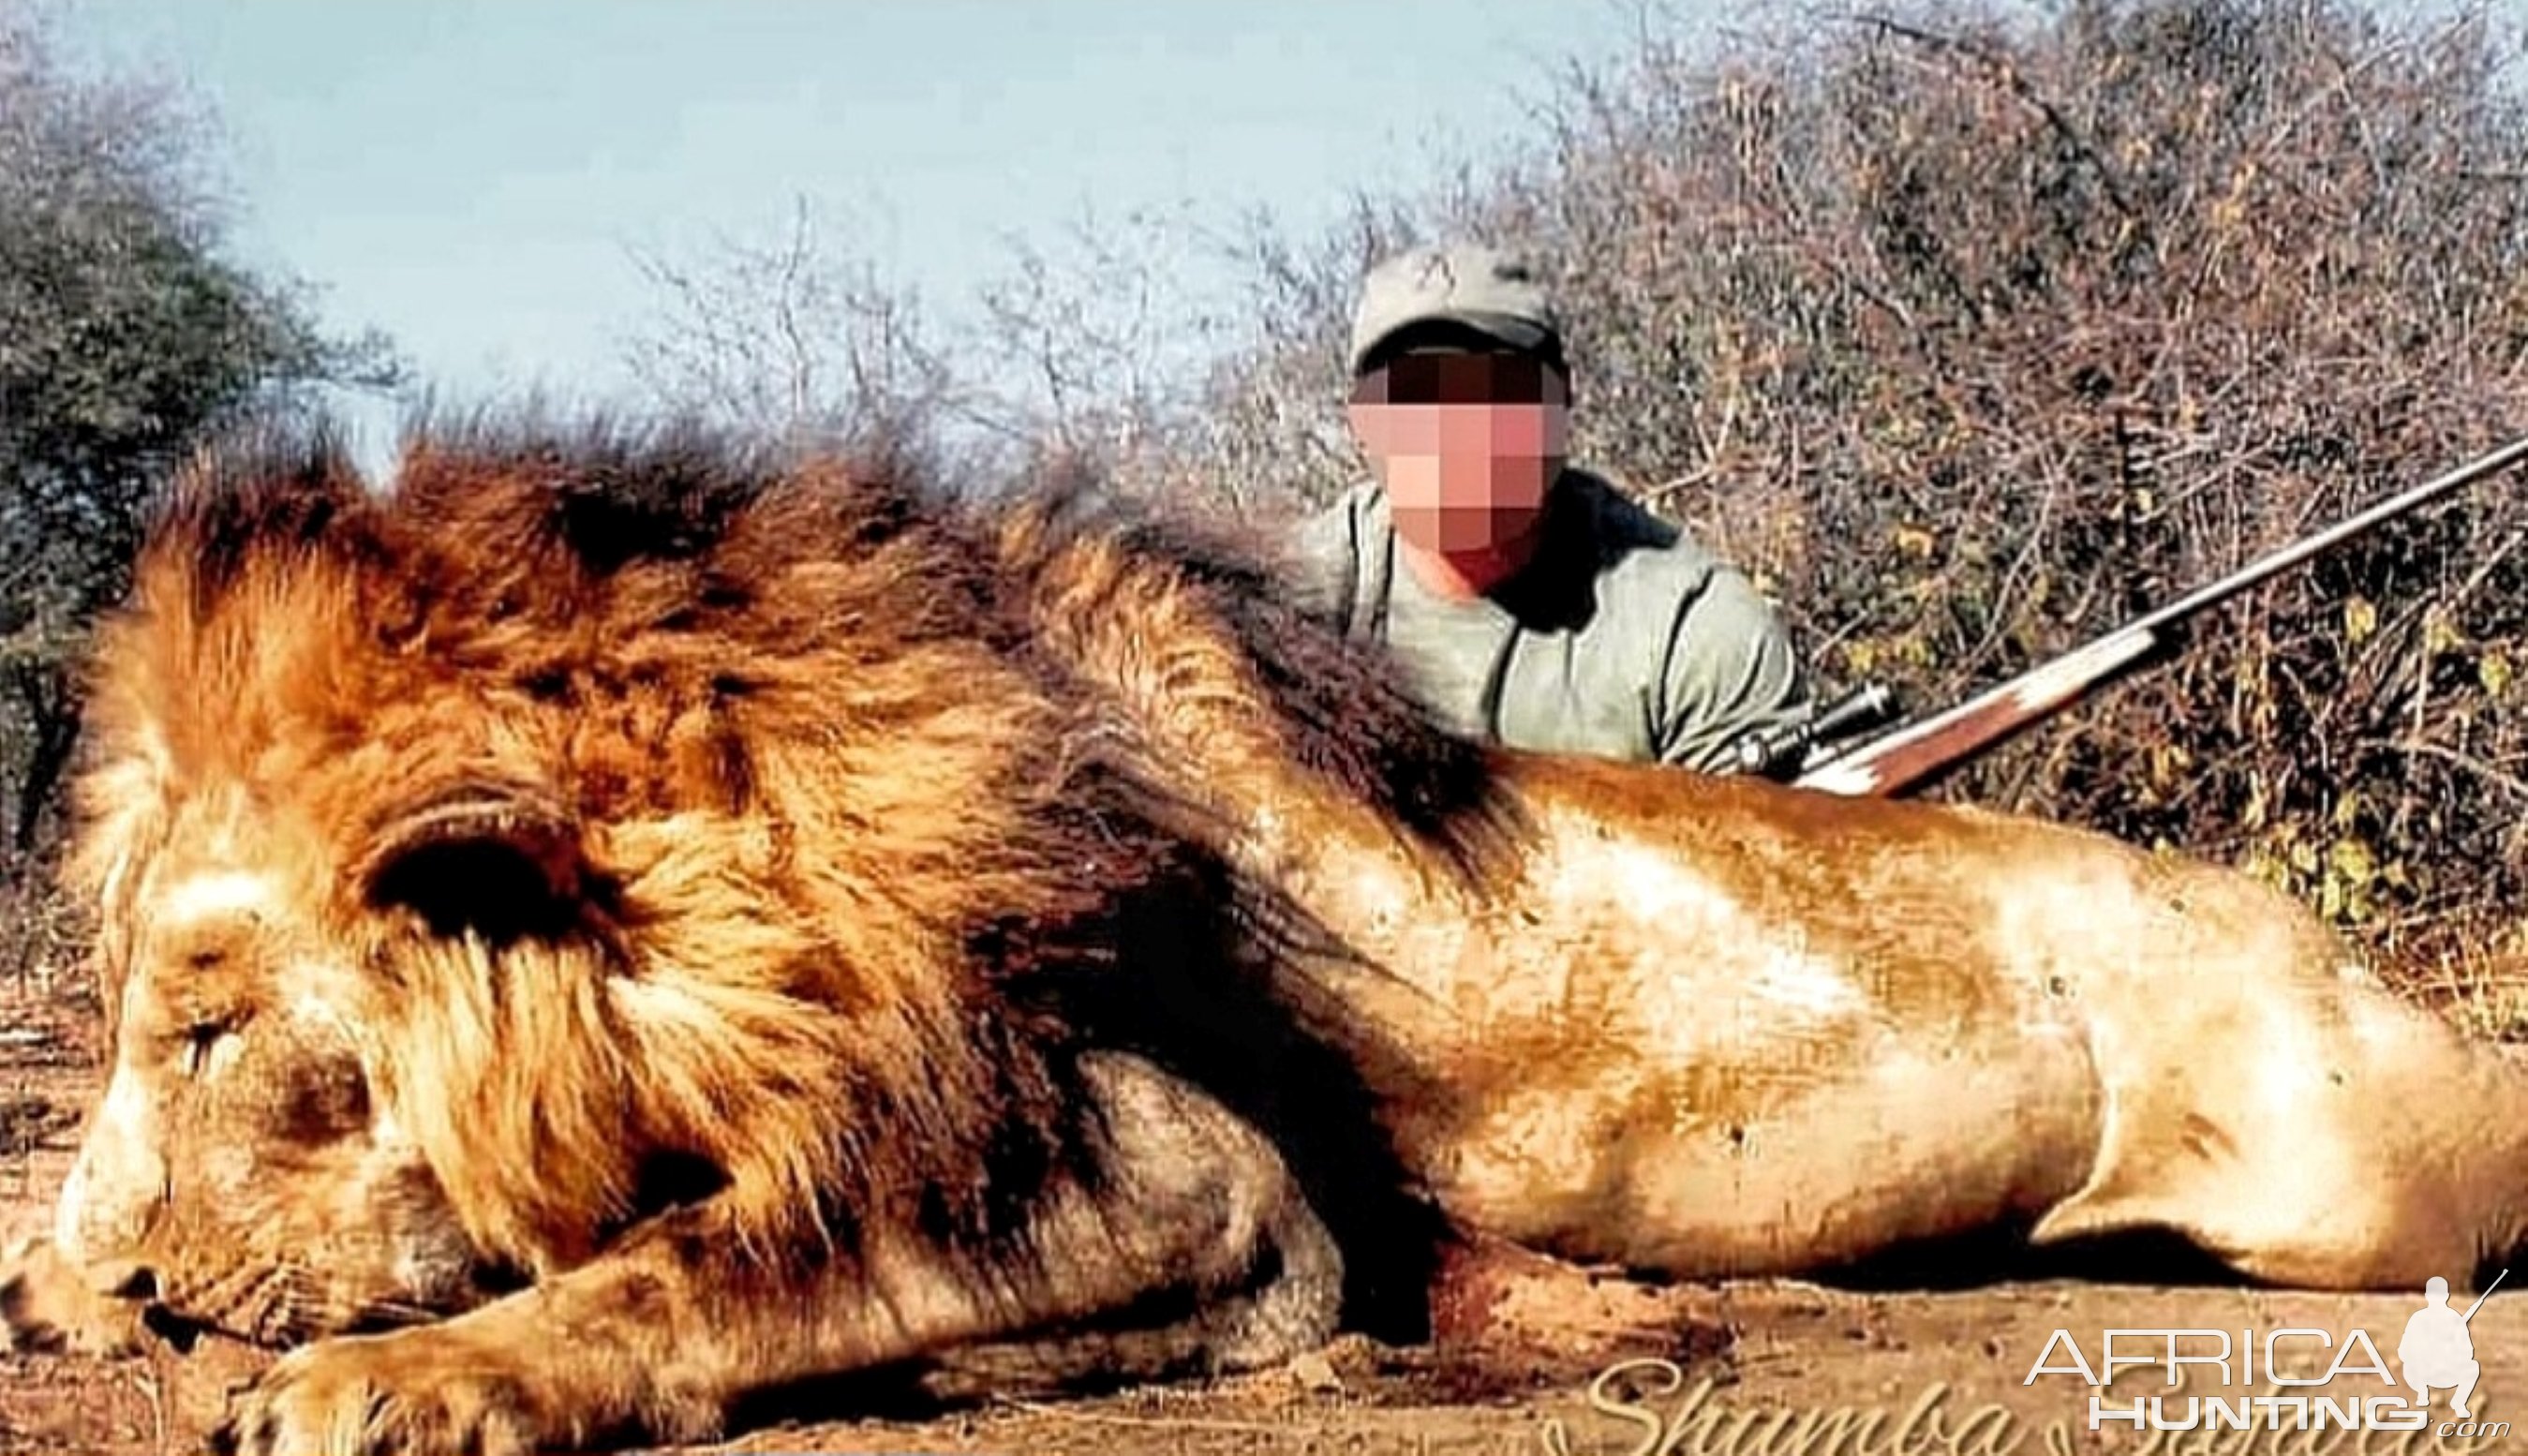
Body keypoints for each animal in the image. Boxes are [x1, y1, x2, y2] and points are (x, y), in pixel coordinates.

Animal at [14, 414, 2528, 1446]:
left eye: (217, 1032)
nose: (115, 1298)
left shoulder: (1203, 1188)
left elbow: (713, 1263)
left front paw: (396, 1379)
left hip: (2356, 1193)